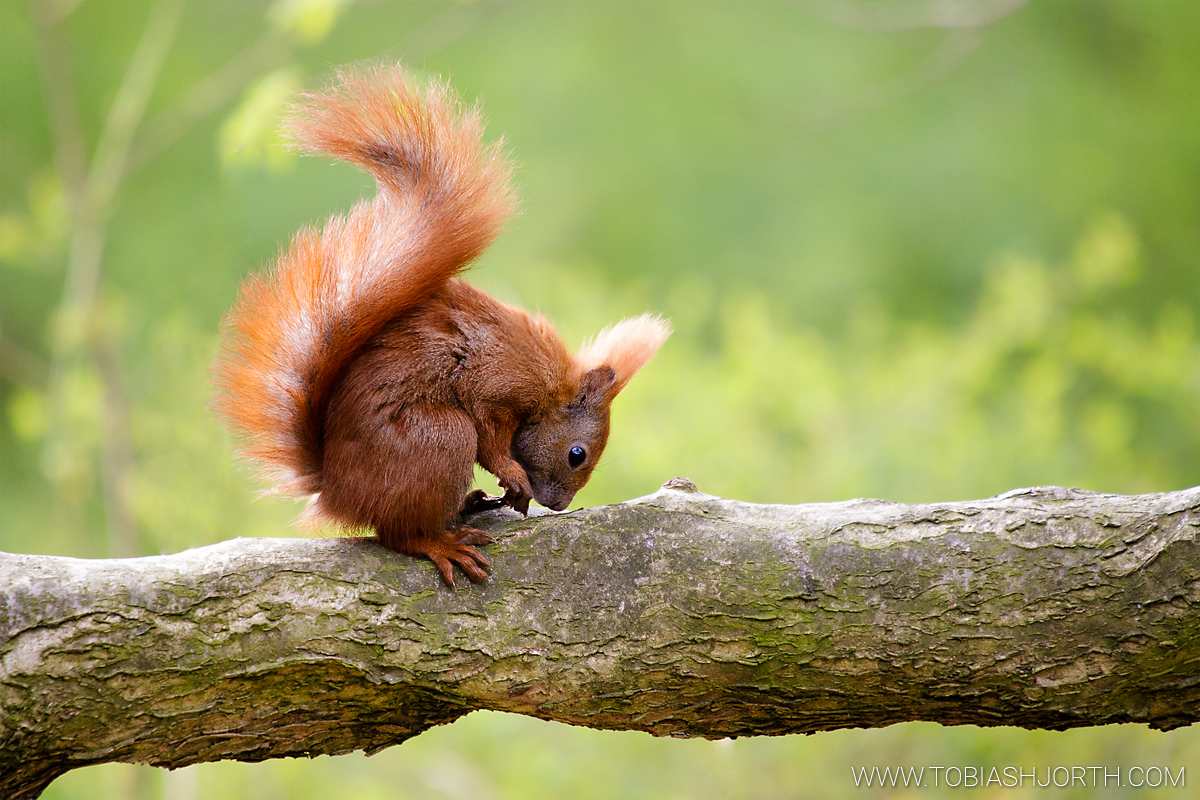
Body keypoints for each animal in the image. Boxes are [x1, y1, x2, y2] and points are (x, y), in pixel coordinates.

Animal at [212, 64, 672, 587]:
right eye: (577, 453)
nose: (558, 505)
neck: (549, 384)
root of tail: (335, 490)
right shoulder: (493, 385)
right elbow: (491, 438)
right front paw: (513, 475)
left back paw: (469, 506)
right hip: (441, 438)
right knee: (397, 534)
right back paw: (443, 543)